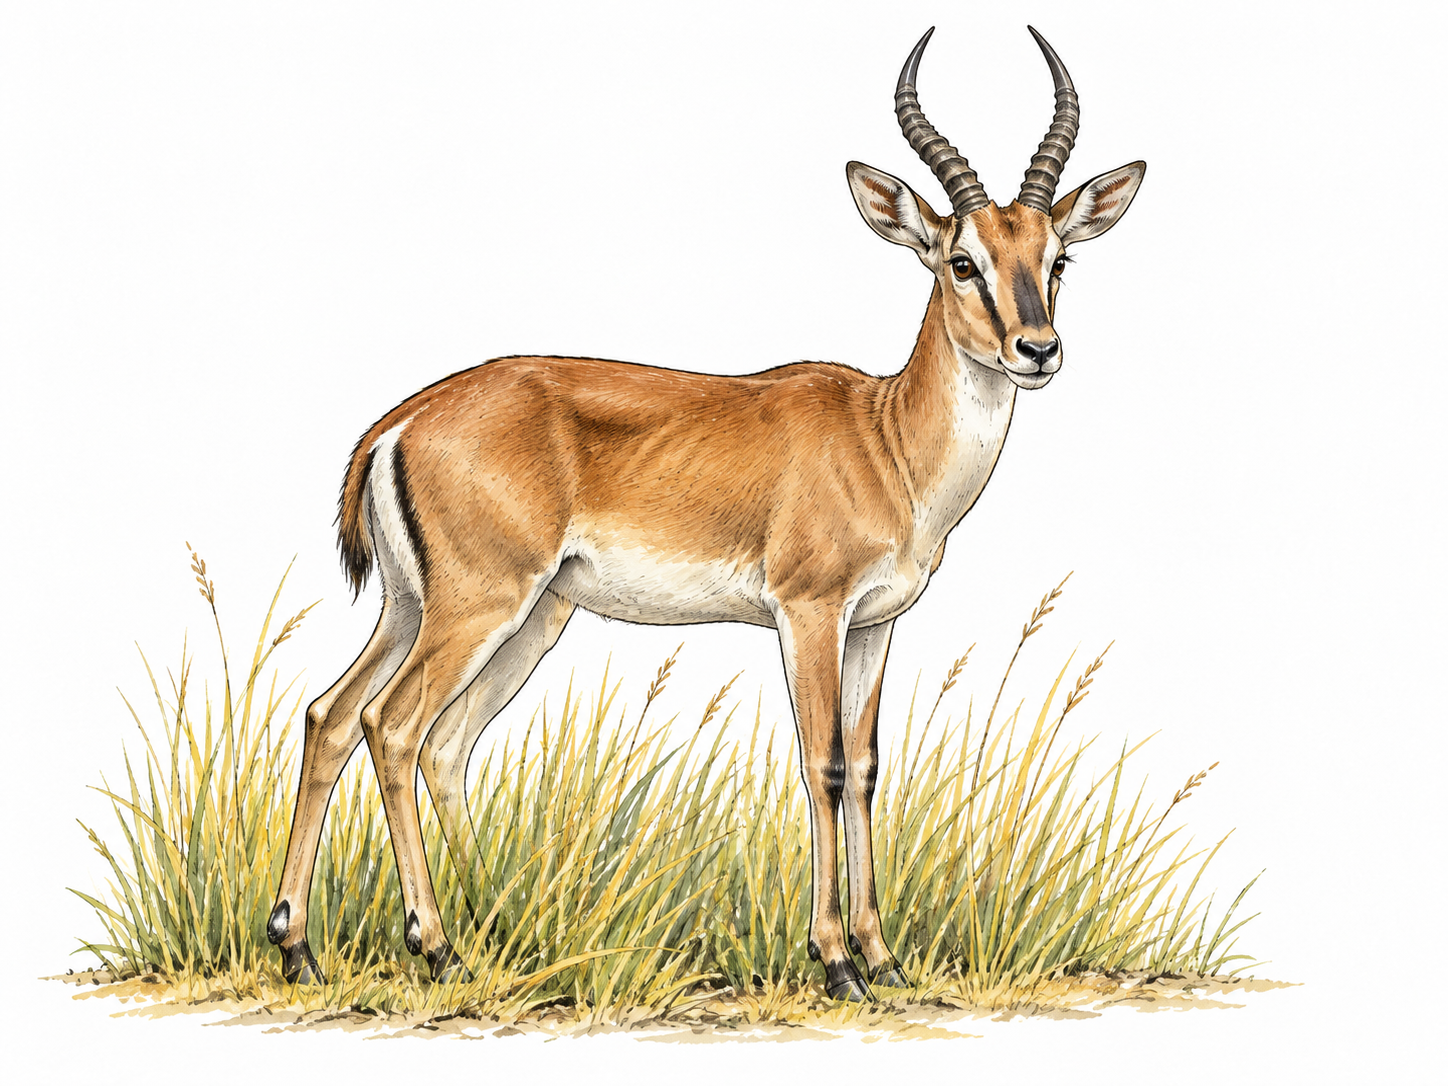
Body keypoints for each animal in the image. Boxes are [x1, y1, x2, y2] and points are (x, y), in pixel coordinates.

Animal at [268, 26, 1145, 1001]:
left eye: (1056, 258)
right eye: (963, 261)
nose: (1039, 348)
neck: (884, 440)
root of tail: (401, 421)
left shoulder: (876, 625)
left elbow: (867, 768)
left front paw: (885, 957)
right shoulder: (808, 612)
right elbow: (822, 764)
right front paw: (837, 962)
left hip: (464, 613)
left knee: (361, 723)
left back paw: (335, 942)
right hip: (478, 607)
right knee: (393, 727)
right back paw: (437, 945)